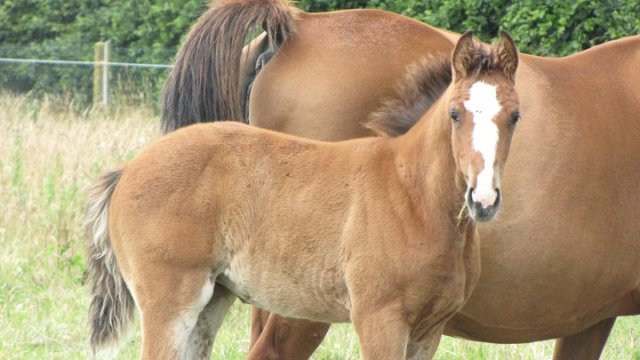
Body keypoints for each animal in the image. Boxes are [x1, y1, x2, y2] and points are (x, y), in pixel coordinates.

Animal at [86, 32, 524, 358]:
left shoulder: (429, 330)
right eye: (455, 113)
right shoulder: (379, 320)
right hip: (170, 303)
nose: (483, 199)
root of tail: (128, 170)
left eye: (516, 116)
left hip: (211, 301)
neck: (413, 196)